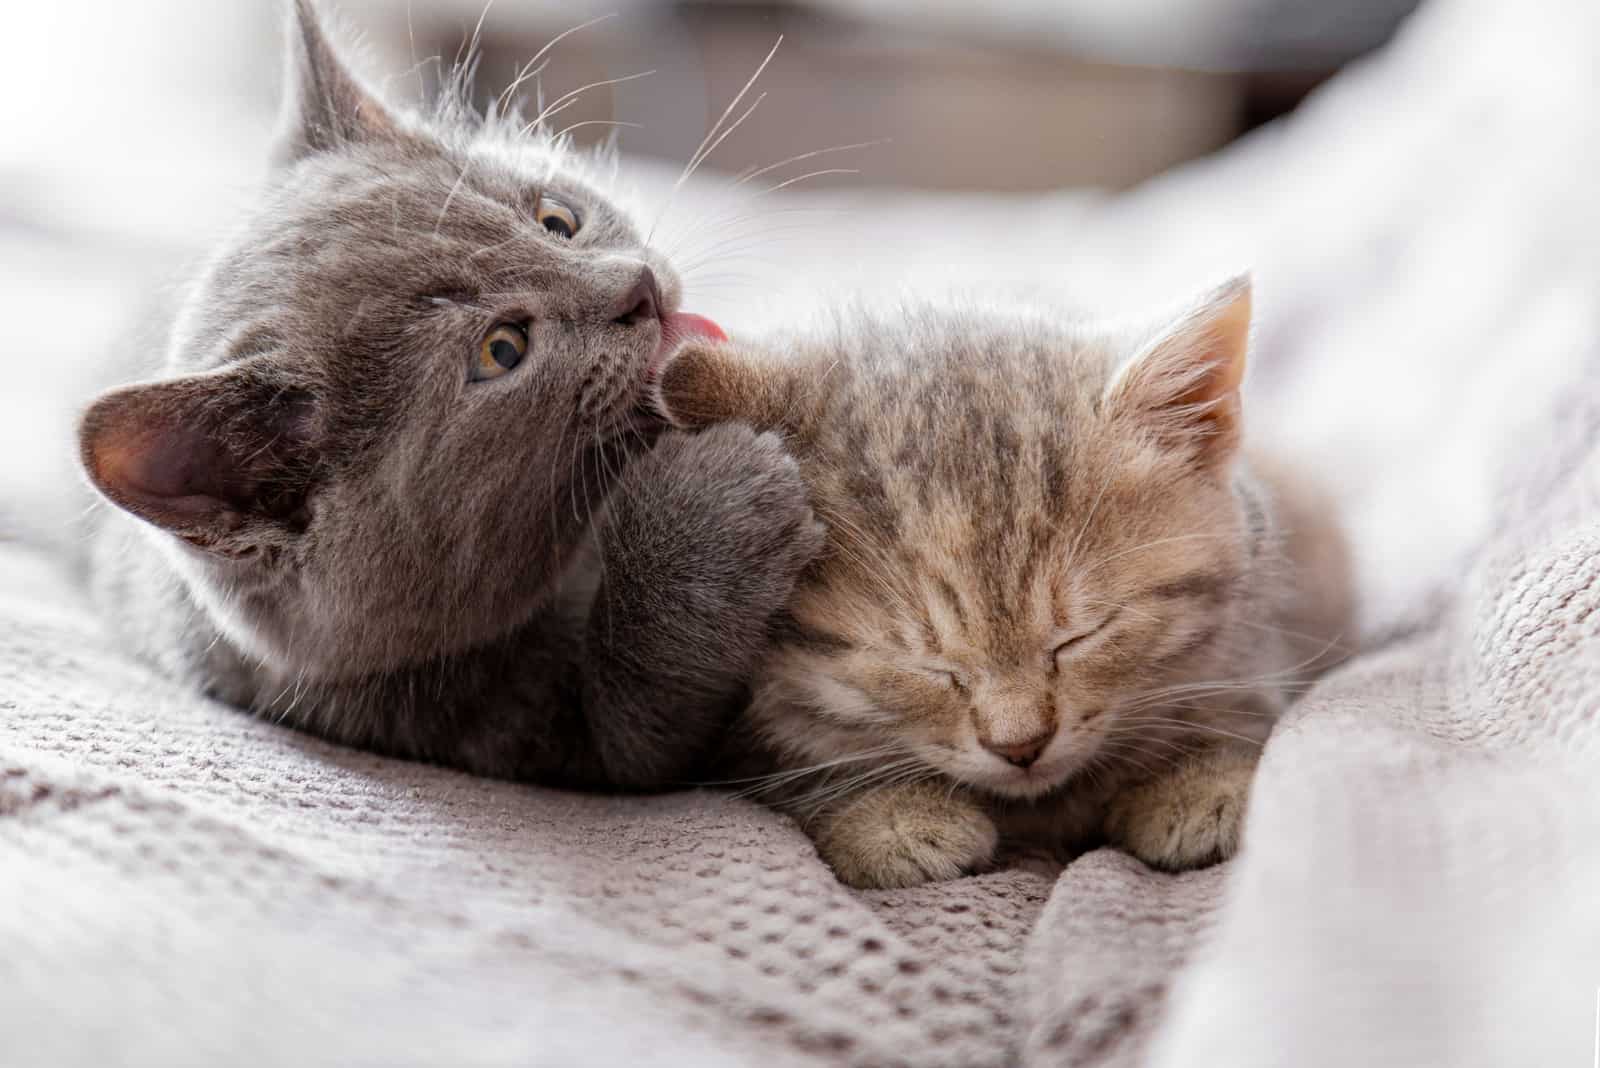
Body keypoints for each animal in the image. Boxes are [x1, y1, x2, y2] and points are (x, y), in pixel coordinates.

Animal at [73, 0, 819, 783]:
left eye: (557, 219)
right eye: (502, 349)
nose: (639, 288)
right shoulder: (511, 728)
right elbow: (640, 714)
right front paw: (712, 503)